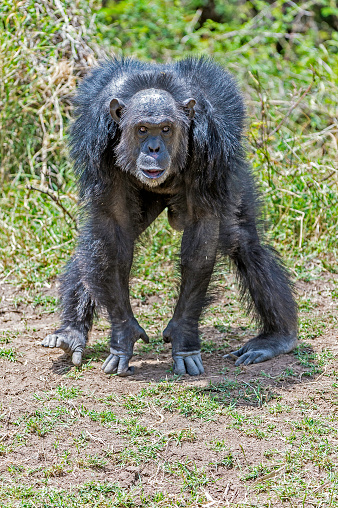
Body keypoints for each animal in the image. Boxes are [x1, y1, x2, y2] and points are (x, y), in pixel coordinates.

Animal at [41, 57, 298, 376]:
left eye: (165, 128)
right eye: (142, 129)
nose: (153, 147)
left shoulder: (211, 147)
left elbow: (202, 234)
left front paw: (183, 337)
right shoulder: (98, 145)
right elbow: (112, 230)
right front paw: (123, 335)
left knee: (244, 239)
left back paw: (277, 338)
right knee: (94, 246)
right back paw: (69, 334)